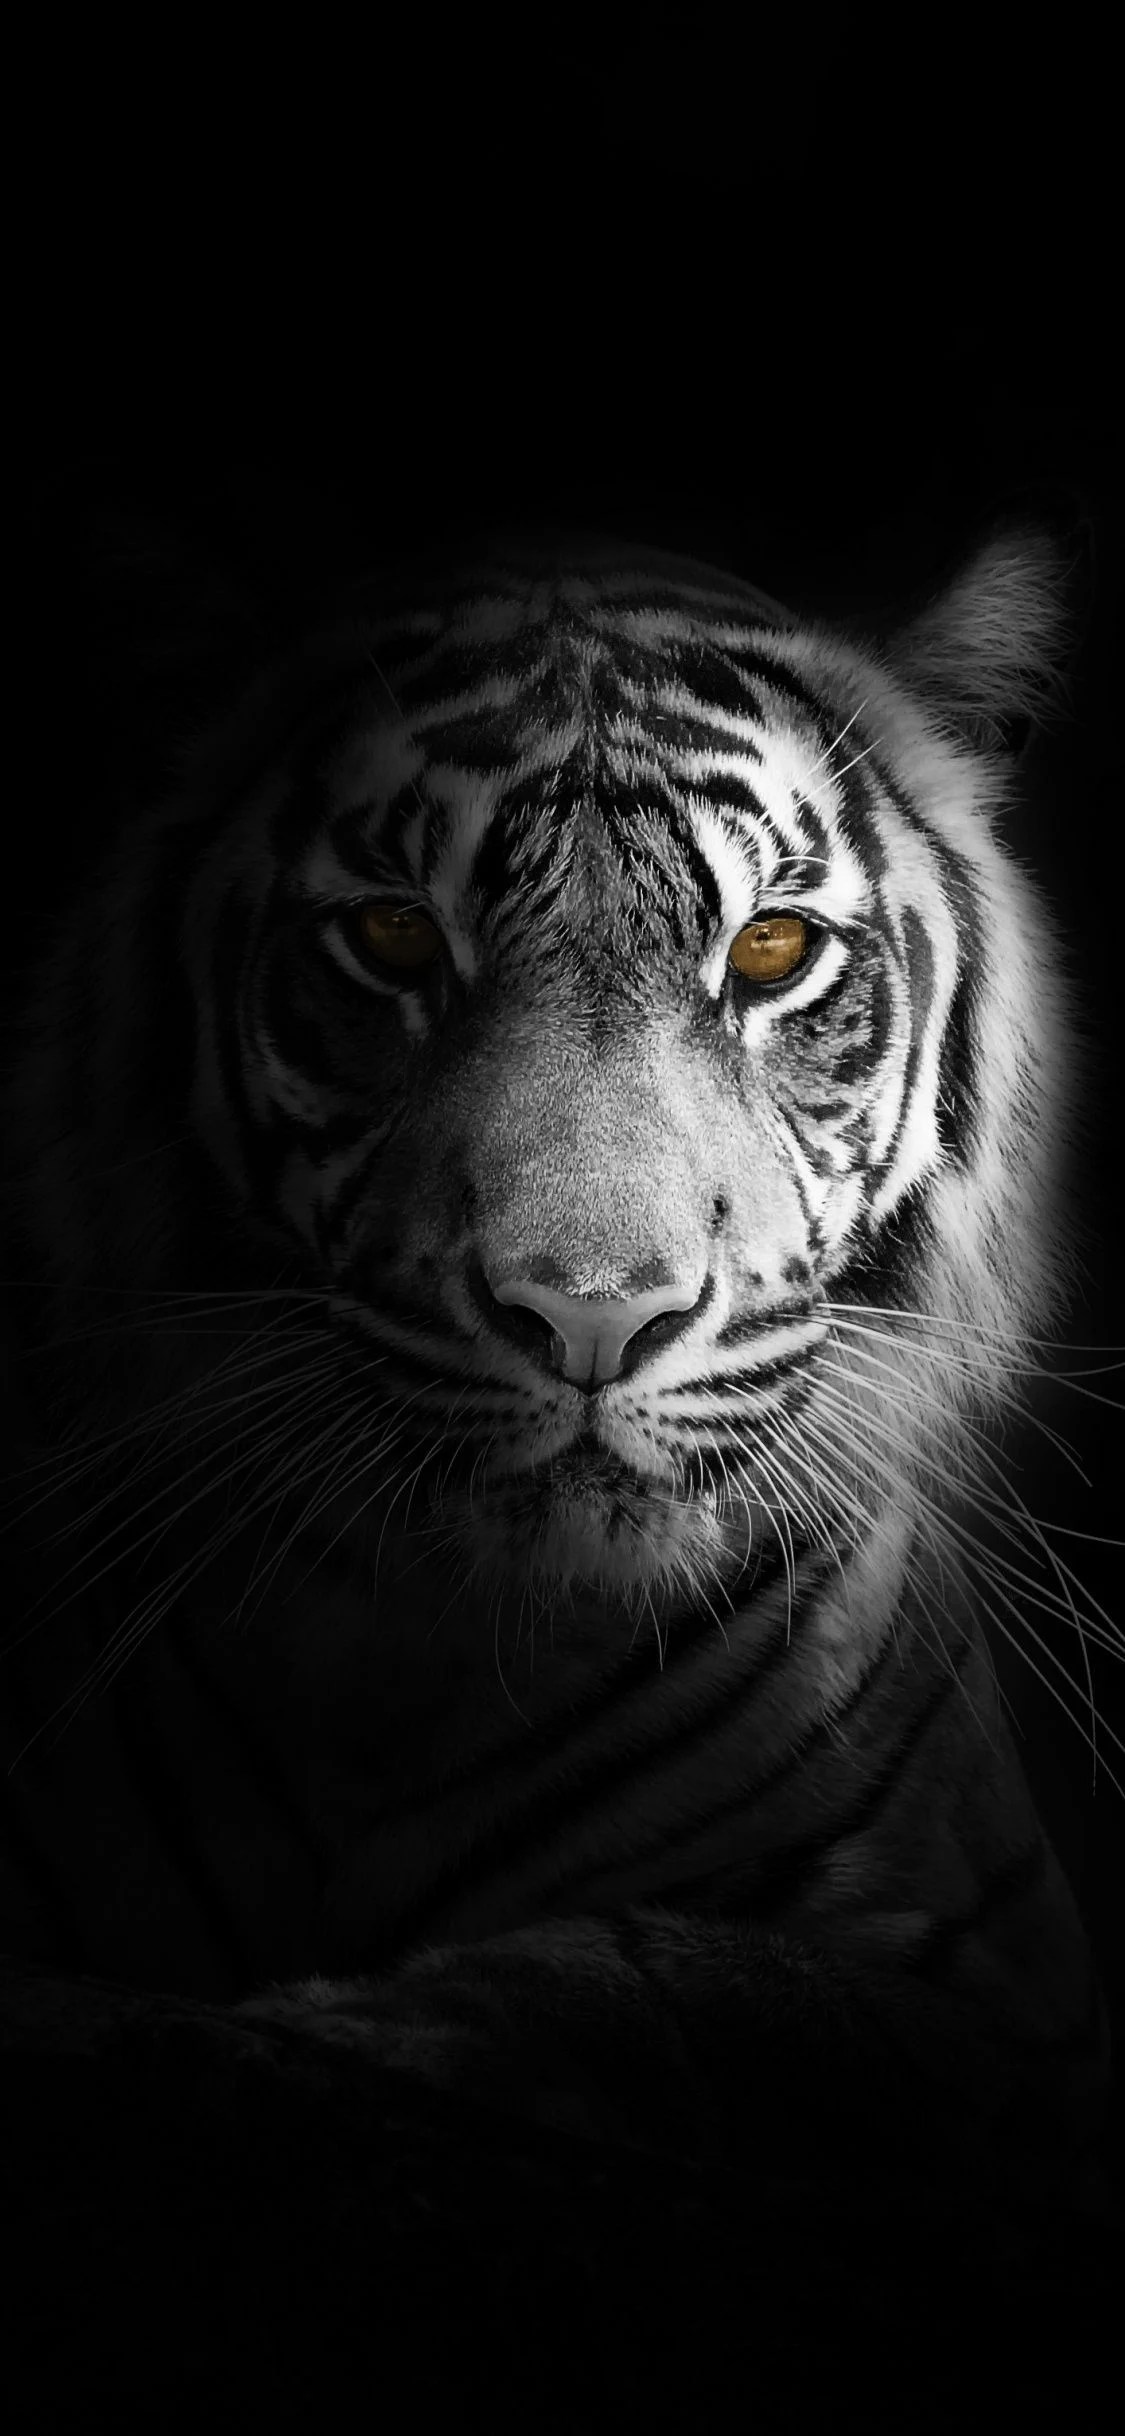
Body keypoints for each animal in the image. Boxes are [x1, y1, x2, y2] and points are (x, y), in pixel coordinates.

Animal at [0, 511, 1117, 2224]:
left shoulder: (1007, 2005)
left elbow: (665, 1987)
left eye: (769, 950)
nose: (592, 1315)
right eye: (393, 933)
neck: (433, 1662)